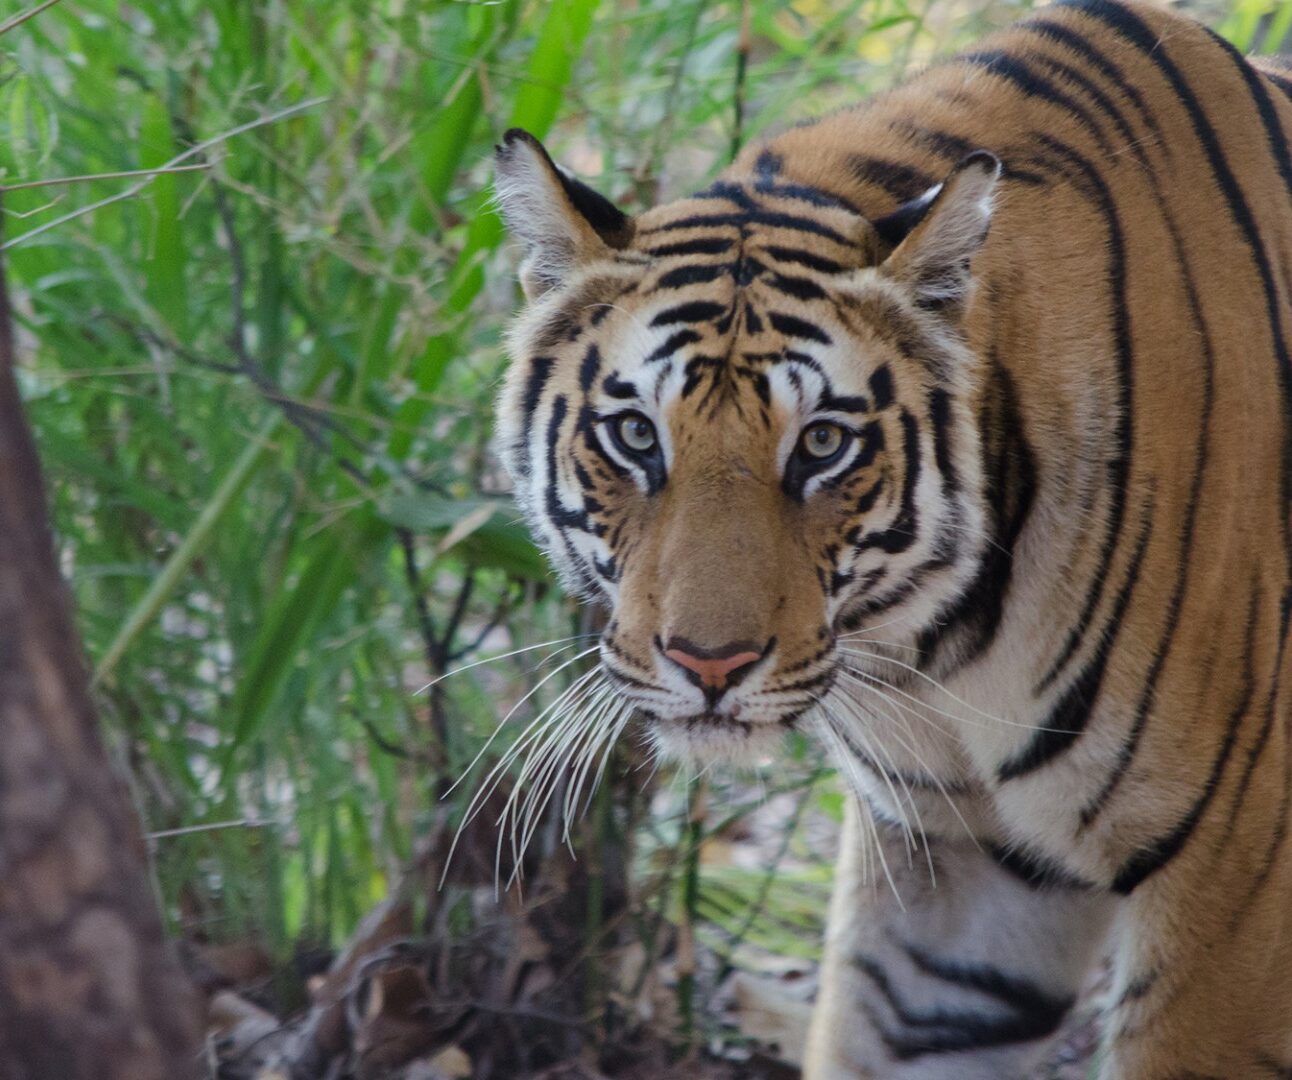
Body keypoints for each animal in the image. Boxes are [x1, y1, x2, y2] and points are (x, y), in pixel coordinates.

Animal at [490, 0, 1292, 1075]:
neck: (940, 649)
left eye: (823, 445)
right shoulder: (960, 867)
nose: (709, 665)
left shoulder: (1236, 885)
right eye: (635, 436)